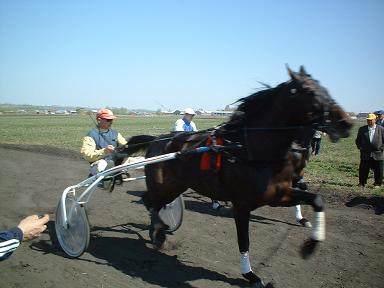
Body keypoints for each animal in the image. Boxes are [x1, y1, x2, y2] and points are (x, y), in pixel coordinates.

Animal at [124, 66, 352, 286]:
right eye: (310, 91)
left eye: (325, 88)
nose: (346, 122)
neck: (250, 151)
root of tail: (158, 139)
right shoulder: (242, 205)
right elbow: (244, 241)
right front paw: (250, 274)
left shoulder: (280, 194)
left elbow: (317, 199)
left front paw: (311, 243)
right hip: (164, 186)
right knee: (151, 202)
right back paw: (159, 231)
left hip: (175, 186)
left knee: (151, 202)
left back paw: (158, 230)